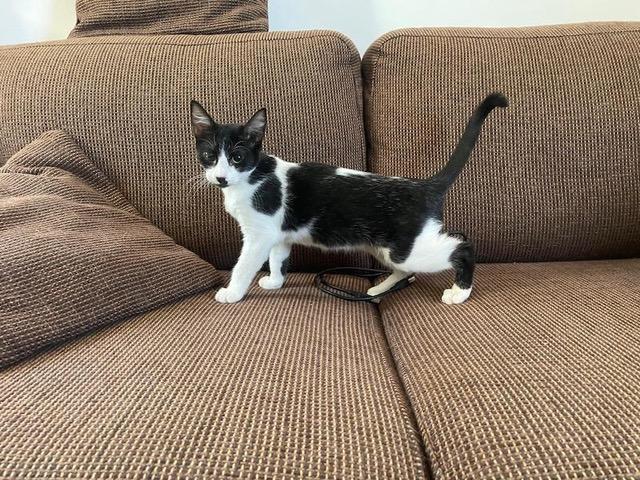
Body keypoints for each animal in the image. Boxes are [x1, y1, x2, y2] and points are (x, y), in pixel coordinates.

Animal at [190, 93, 507, 304]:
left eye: (237, 157)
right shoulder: (278, 233)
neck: (252, 177)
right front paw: (275, 281)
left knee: (462, 245)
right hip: (385, 247)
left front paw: (232, 292)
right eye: (208, 156)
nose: (220, 178)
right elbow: (278, 257)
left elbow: (244, 265)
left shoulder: (259, 234)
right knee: (406, 269)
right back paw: (380, 288)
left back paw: (460, 291)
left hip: (406, 248)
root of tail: (423, 186)